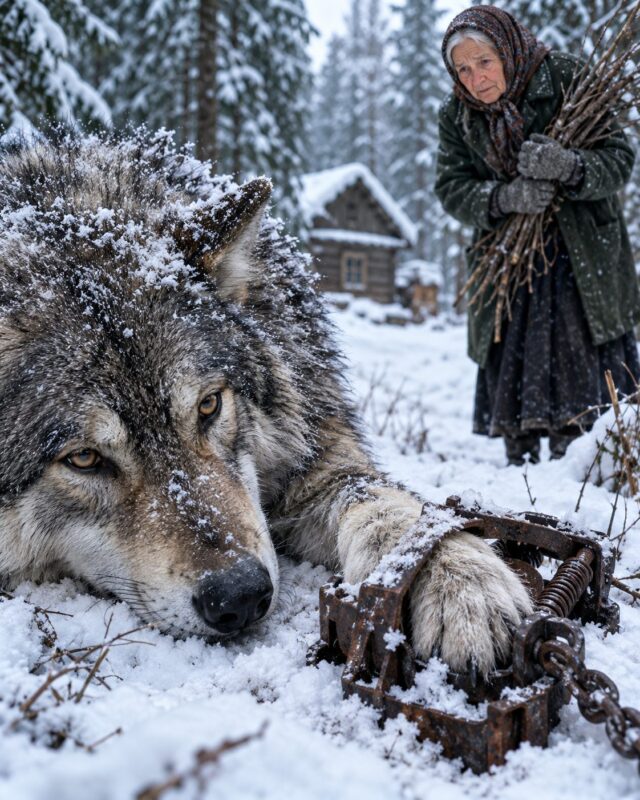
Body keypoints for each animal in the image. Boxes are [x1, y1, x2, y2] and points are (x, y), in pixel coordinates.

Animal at [0, 131, 532, 675]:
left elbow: (385, 503)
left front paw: (451, 576)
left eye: (209, 406)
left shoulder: (317, 456)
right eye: (84, 459)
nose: (239, 595)